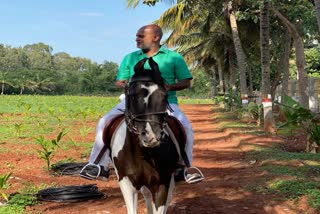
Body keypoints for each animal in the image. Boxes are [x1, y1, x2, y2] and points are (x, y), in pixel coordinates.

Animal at [109, 57, 181, 213]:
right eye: (132, 96)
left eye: (164, 96)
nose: (151, 135)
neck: (143, 153)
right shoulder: (126, 183)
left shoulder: (162, 183)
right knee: (147, 196)